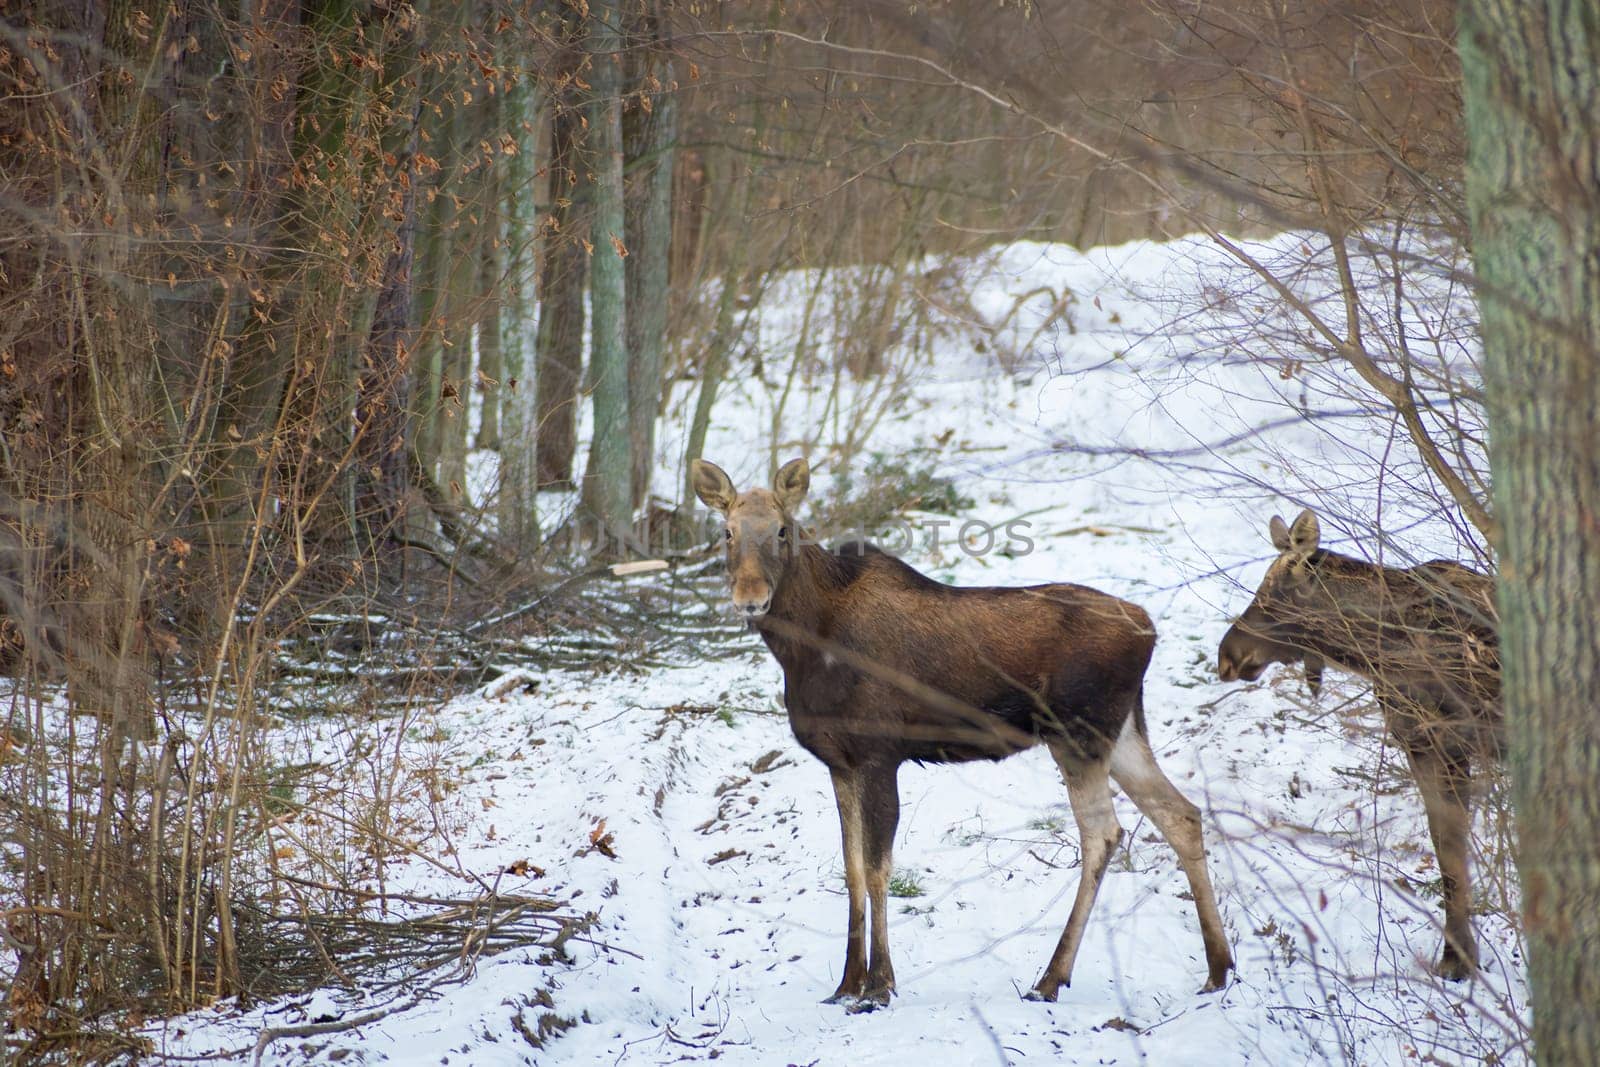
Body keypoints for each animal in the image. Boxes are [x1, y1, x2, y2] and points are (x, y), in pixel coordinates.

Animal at [1216, 511, 1491, 979]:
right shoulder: (1418, 743)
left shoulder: (1452, 741)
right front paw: (1457, 954)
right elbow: (1445, 848)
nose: (1227, 657)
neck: (1373, 649)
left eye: (1277, 592)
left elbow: (1454, 852)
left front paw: (1460, 959)